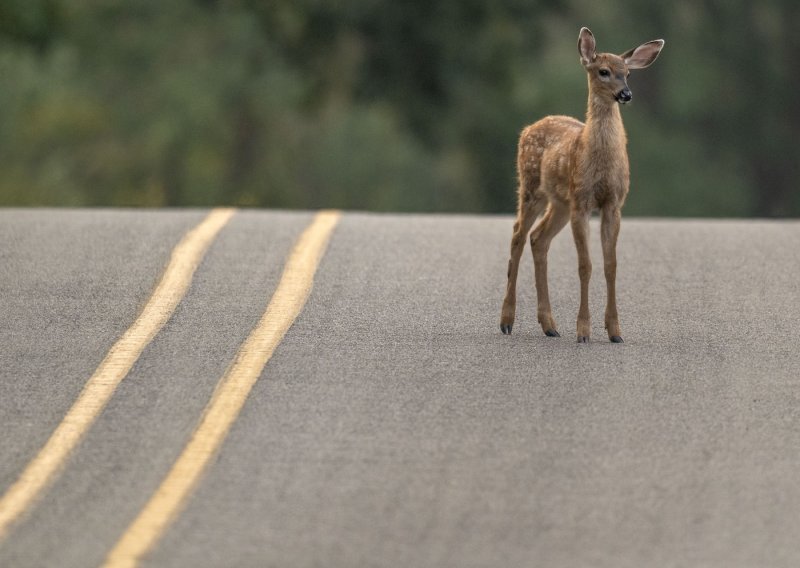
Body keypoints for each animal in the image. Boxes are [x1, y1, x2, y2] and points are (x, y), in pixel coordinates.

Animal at [500, 27, 664, 342]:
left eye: (628, 73)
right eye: (603, 71)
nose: (626, 94)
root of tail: (527, 129)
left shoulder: (613, 203)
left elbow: (611, 265)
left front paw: (615, 331)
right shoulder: (582, 201)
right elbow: (585, 265)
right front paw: (584, 330)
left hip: (560, 201)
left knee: (538, 238)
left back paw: (549, 325)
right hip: (531, 186)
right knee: (517, 235)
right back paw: (507, 321)